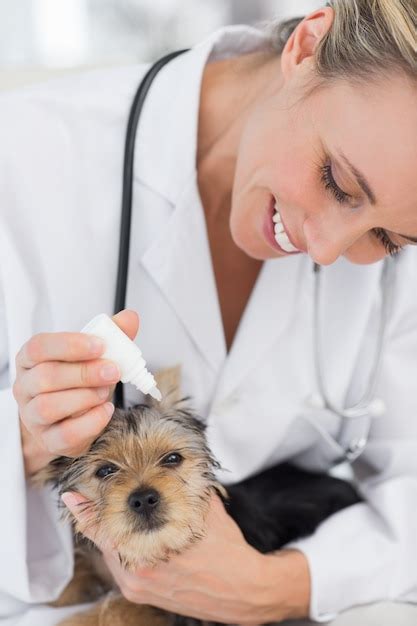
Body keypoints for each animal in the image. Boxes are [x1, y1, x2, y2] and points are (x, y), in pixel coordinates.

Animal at [35, 366, 360, 624]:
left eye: (172, 459)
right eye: (104, 471)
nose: (144, 498)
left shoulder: (181, 609)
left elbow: (122, 607)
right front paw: (61, 587)